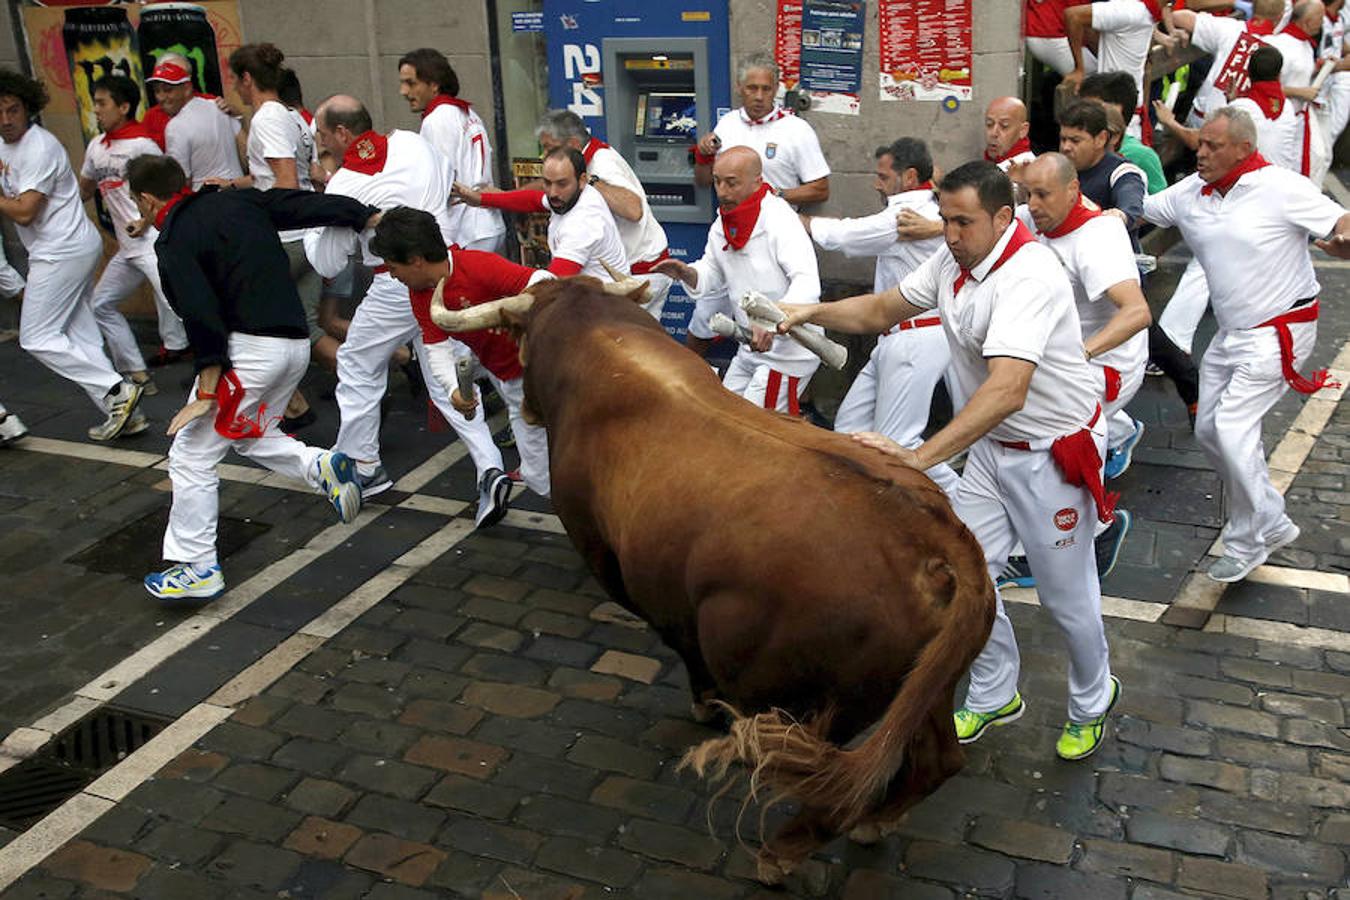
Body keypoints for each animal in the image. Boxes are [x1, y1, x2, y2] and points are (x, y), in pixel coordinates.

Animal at [426, 272, 999, 879]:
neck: (601, 345)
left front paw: (703, 704)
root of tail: (933, 537)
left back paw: (778, 854)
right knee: (936, 761)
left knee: (834, 786)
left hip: (829, 702)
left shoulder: (626, 568)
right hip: (927, 687)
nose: (528, 413)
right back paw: (876, 823)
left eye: (519, 336)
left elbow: (683, 645)